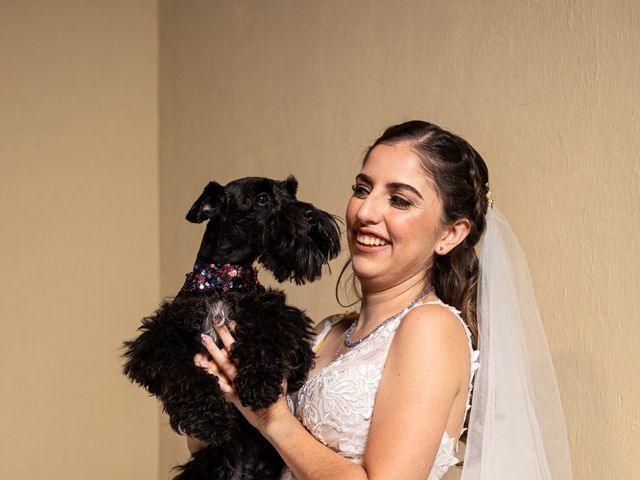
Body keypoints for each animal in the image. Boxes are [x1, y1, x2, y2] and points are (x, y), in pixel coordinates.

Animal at [120, 176, 340, 480]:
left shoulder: (286, 325)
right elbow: (182, 372)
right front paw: (209, 419)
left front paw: (258, 384)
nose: (310, 215)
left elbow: (268, 334)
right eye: (262, 198)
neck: (223, 281)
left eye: (291, 192)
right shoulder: (156, 343)